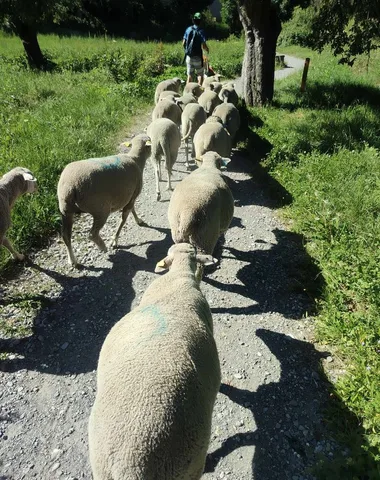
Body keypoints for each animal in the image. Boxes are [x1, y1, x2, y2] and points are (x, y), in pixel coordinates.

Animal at [56, 134, 151, 266]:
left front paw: (138, 220)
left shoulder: (130, 197)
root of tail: (70, 188)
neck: (135, 159)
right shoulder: (132, 195)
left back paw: (72, 260)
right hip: (100, 209)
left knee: (66, 235)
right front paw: (114, 240)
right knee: (92, 234)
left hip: (65, 209)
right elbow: (124, 219)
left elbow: (132, 209)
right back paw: (103, 247)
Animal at [167, 150, 233, 278]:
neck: (208, 166)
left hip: (178, 233)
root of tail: (188, 213)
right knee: (200, 264)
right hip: (204, 238)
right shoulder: (220, 230)